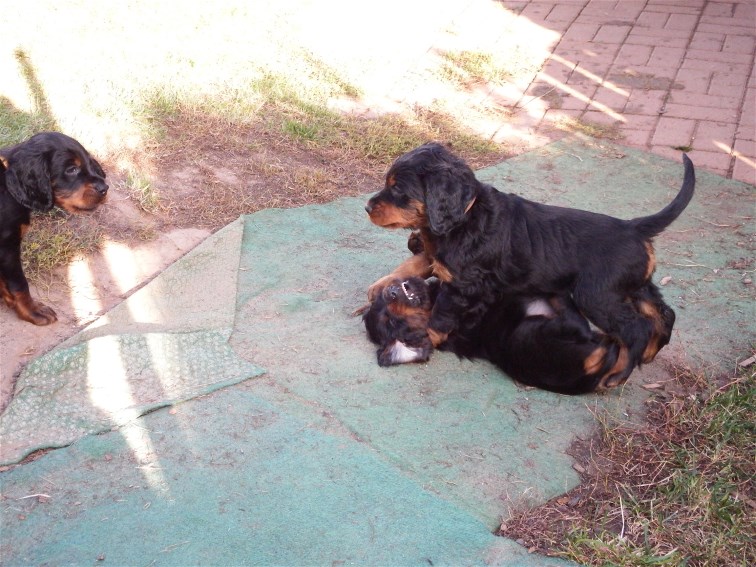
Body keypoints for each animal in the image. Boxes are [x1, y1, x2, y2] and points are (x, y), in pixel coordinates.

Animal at [0, 132, 108, 325]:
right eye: (71, 169)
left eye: (89, 163)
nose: (105, 188)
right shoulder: (7, 246)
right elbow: (20, 283)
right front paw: (32, 311)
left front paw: (8, 298)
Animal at [365, 143, 693, 389]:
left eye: (398, 190)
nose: (367, 207)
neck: (466, 217)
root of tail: (633, 228)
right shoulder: (438, 259)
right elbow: (413, 264)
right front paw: (381, 287)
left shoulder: (463, 284)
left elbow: (439, 317)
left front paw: (429, 338)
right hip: (632, 285)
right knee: (663, 313)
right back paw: (649, 353)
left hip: (597, 296)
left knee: (636, 327)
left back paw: (618, 375)